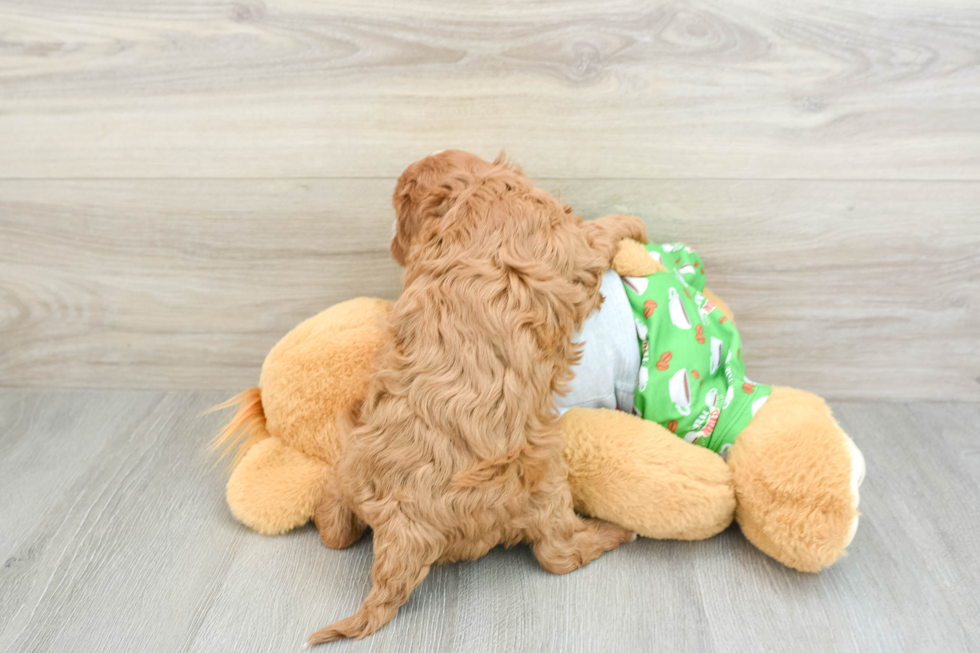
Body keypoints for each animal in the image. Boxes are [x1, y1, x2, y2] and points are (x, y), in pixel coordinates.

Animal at [306, 150, 644, 644]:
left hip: (347, 470)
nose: (392, 249)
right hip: (542, 481)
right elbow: (601, 230)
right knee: (558, 554)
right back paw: (613, 532)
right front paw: (634, 224)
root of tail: (402, 527)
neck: (473, 191)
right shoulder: (573, 241)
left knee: (333, 528)